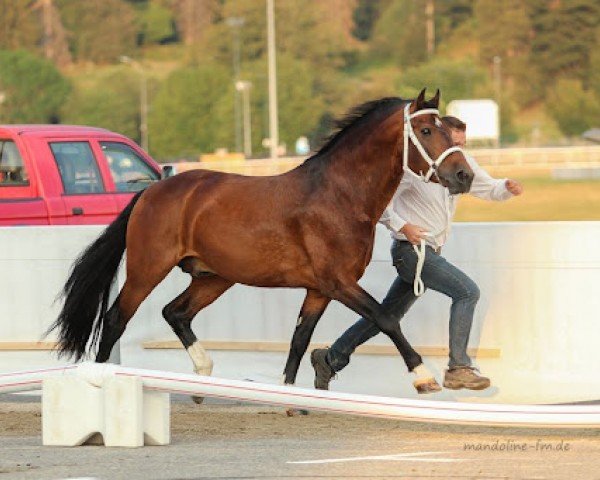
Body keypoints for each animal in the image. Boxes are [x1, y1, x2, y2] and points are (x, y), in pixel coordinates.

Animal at [48, 89, 474, 394]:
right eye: (426, 131)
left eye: (447, 130)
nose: (464, 176)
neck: (339, 195)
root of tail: (151, 190)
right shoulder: (338, 283)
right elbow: (386, 318)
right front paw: (423, 376)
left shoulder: (319, 289)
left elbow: (299, 341)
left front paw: (290, 398)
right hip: (147, 270)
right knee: (115, 319)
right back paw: (101, 382)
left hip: (215, 276)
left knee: (176, 313)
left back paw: (203, 375)